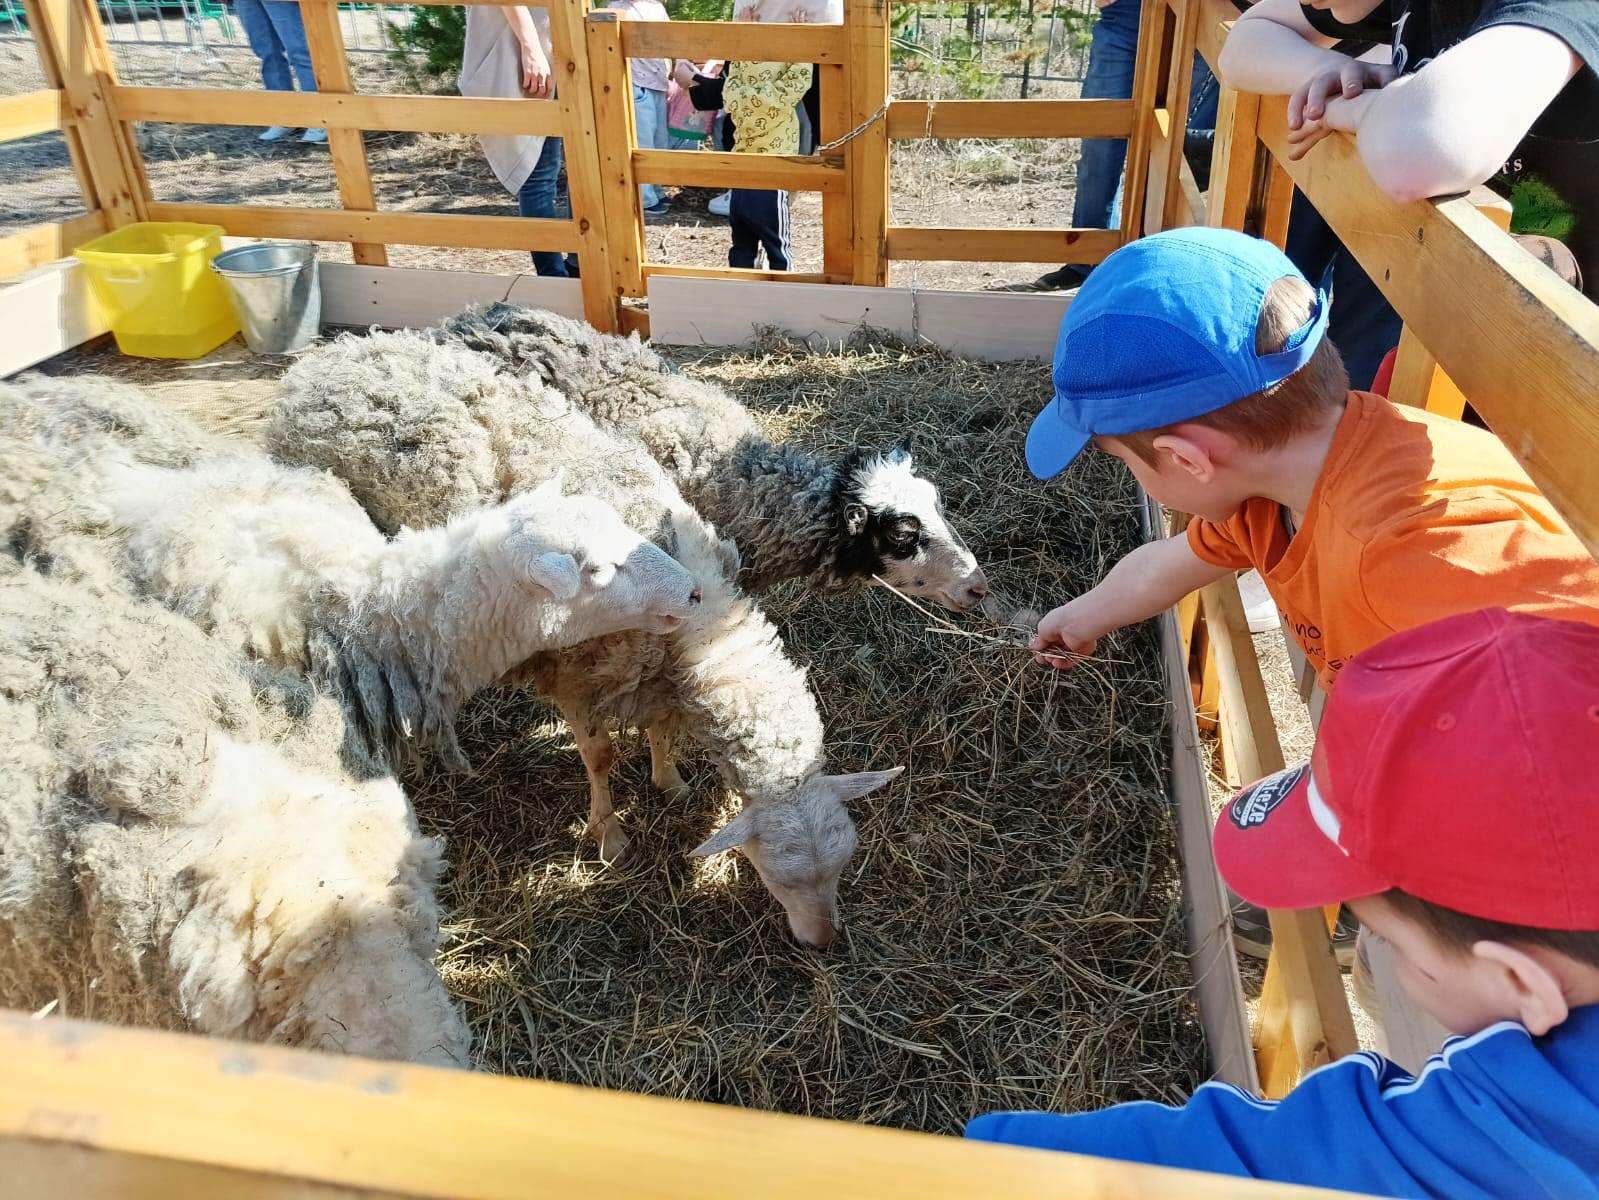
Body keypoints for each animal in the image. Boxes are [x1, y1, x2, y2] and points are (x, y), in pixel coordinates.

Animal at [268, 331, 908, 947]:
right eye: (776, 875)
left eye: (844, 864)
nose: (823, 944)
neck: (705, 626)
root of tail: (334, 356)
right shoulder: (577, 677)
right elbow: (600, 757)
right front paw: (610, 835)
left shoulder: (658, 677)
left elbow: (660, 731)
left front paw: (669, 782)